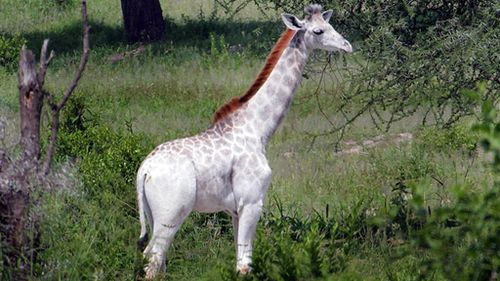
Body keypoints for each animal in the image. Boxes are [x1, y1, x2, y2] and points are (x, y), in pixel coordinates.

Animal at [135, 4, 354, 278]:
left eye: (329, 24)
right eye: (318, 30)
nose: (347, 46)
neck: (257, 129)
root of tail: (144, 171)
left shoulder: (234, 209)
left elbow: (239, 259)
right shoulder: (252, 201)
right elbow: (244, 265)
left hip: (153, 215)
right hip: (172, 212)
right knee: (153, 259)